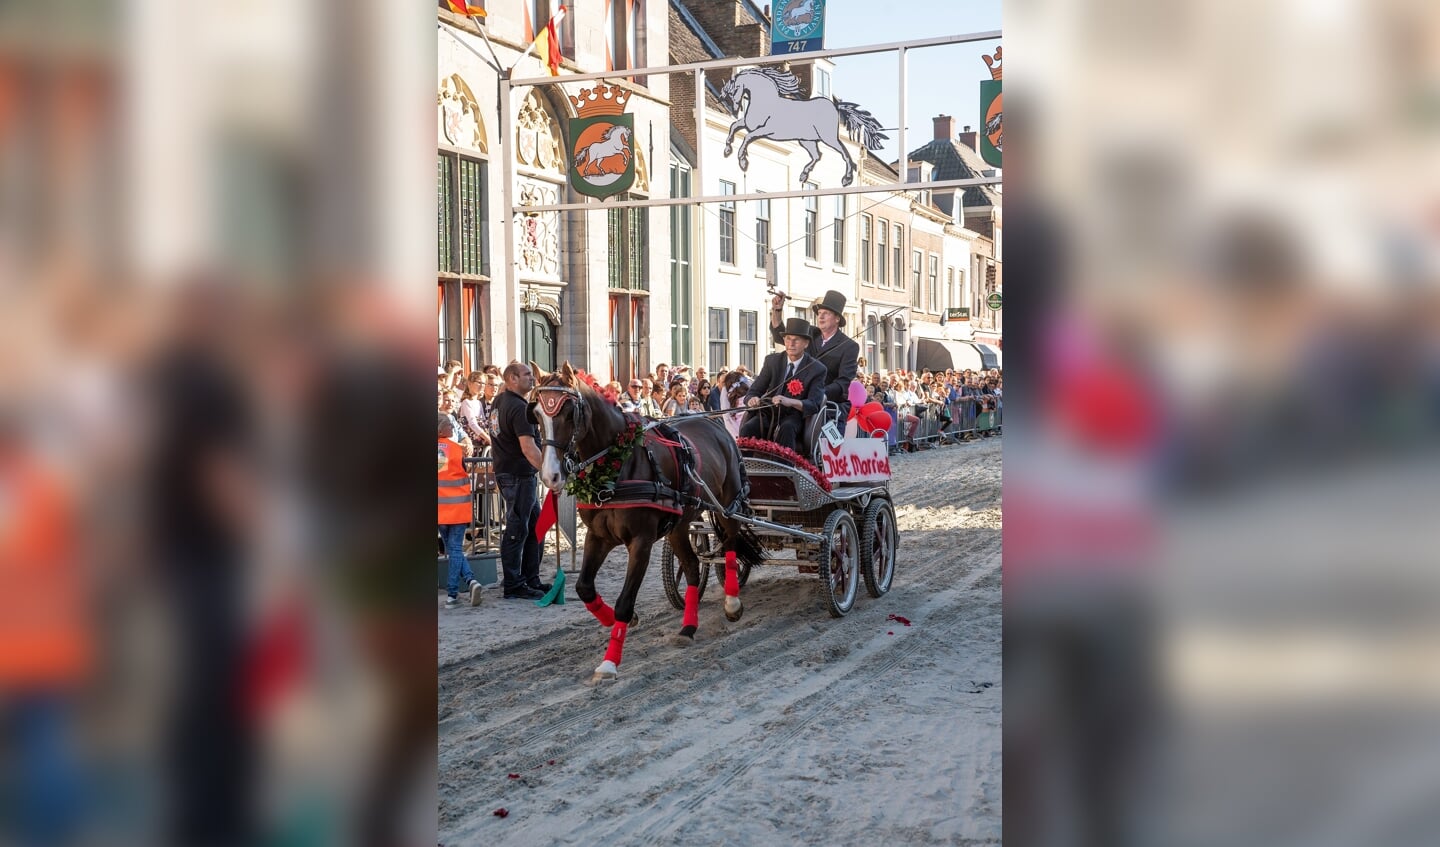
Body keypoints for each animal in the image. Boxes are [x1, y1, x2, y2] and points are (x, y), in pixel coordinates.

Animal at [532, 363, 766, 682]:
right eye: (536, 414)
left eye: (569, 412)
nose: (550, 476)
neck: (618, 464)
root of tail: (716, 426)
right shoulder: (598, 536)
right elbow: (584, 588)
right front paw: (623, 621)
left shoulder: (640, 542)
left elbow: (624, 601)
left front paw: (609, 662)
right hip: (679, 526)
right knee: (692, 567)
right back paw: (688, 626)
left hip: (728, 506)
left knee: (730, 546)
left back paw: (732, 602)